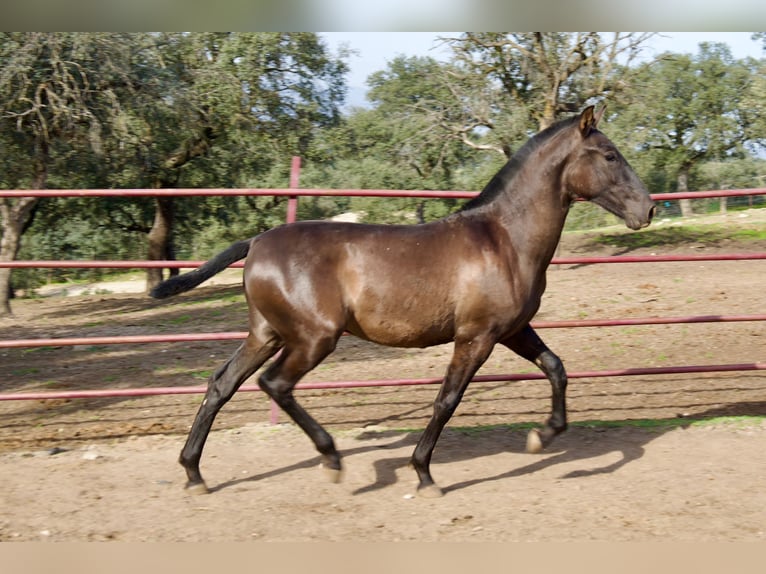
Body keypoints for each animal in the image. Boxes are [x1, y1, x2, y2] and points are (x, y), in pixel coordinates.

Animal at [153, 107, 656, 500]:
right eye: (610, 155)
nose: (648, 210)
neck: (504, 239)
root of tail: (256, 241)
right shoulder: (476, 337)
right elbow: (446, 400)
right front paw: (424, 473)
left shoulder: (512, 330)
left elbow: (556, 368)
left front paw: (541, 436)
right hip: (313, 338)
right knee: (275, 384)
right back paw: (331, 459)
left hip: (266, 333)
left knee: (221, 385)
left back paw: (194, 473)